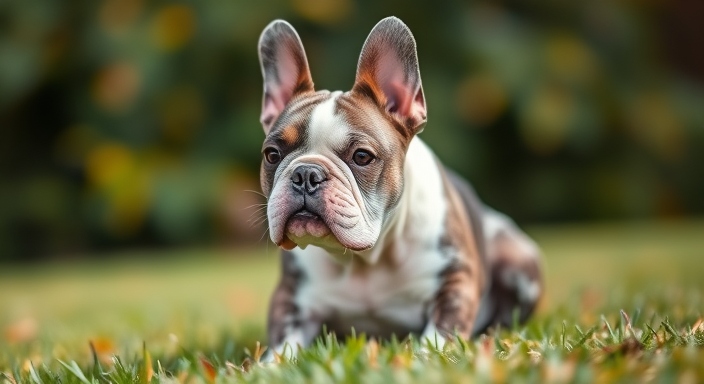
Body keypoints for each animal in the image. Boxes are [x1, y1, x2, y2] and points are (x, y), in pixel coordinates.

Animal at [256, 16, 540, 358]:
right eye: (272, 155)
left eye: (362, 156)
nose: (306, 174)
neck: (367, 259)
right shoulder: (291, 297)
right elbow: (282, 346)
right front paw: (268, 364)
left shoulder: (456, 280)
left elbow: (440, 333)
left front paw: (426, 358)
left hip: (520, 262)